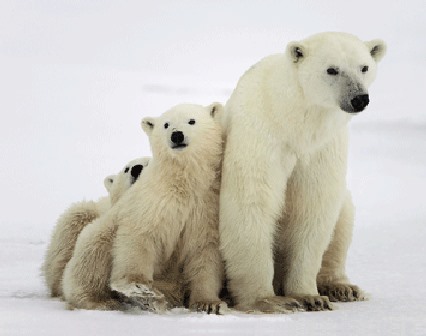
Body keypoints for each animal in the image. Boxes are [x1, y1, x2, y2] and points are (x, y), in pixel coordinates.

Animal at [106, 103, 225, 314]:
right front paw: (140, 288)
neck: (183, 182)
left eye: (192, 121)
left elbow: (204, 252)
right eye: (166, 124)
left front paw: (209, 303)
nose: (177, 135)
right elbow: (140, 234)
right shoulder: (156, 200)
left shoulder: (205, 207)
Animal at [220, 32, 386, 312]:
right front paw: (268, 300)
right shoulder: (262, 135)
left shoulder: (322, 148)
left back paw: (341, 287)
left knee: (343, 216)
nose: (359, 98)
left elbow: (313, 207)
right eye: (332, 69)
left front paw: (310, 296)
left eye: (364, 67)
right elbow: (251, 202)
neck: (295, 121)